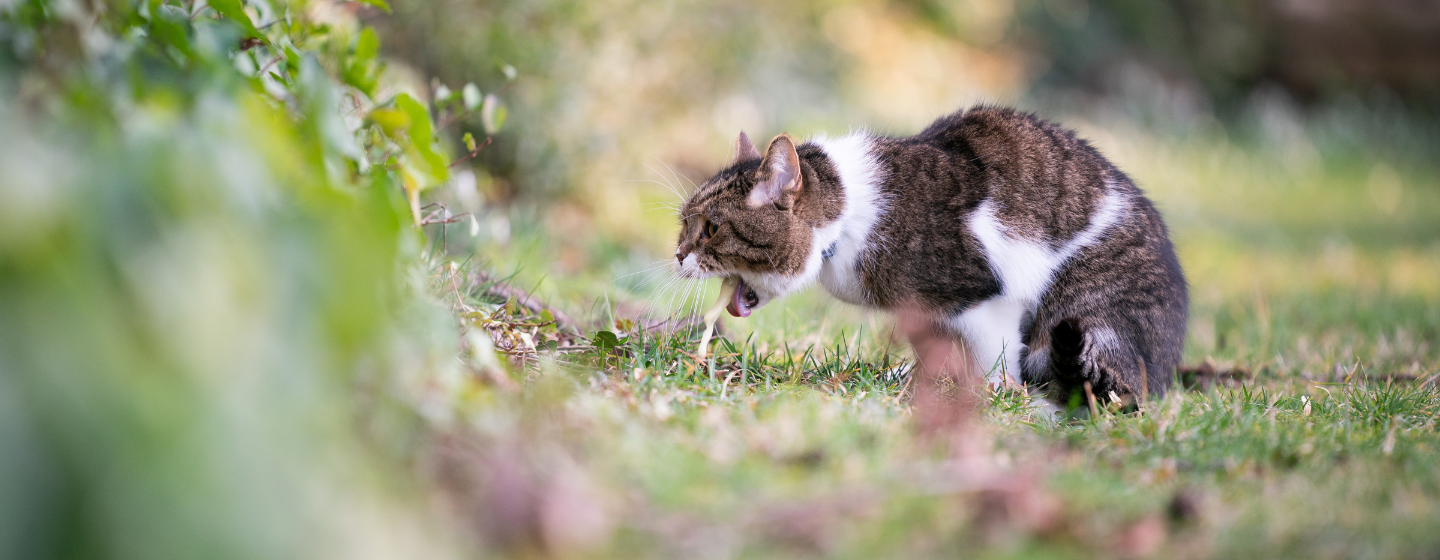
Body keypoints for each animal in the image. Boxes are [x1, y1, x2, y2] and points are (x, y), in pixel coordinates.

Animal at [668, 105, 1186, 400]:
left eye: (710, 229)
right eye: (683, 225)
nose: (677, 255)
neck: (849, 217)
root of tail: (1166, 367)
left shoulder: (985, 299)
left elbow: (993, 359)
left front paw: (990, 396)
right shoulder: (920, 312)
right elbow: (936, 351)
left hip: (1086, 313)